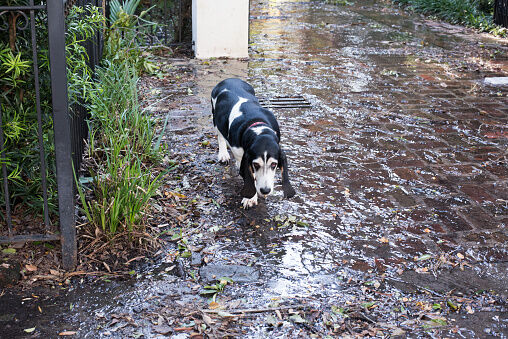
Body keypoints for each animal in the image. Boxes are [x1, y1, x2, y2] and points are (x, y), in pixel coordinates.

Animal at [210, 78, 296, 209]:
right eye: (255, 165)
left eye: (274, 165)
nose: (265, 190)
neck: (258, 127)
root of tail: (229, 79)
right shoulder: (241, 158)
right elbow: (251, 177)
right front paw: (250, 198)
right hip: (215, 119)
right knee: (220, 136)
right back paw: (223, 154)